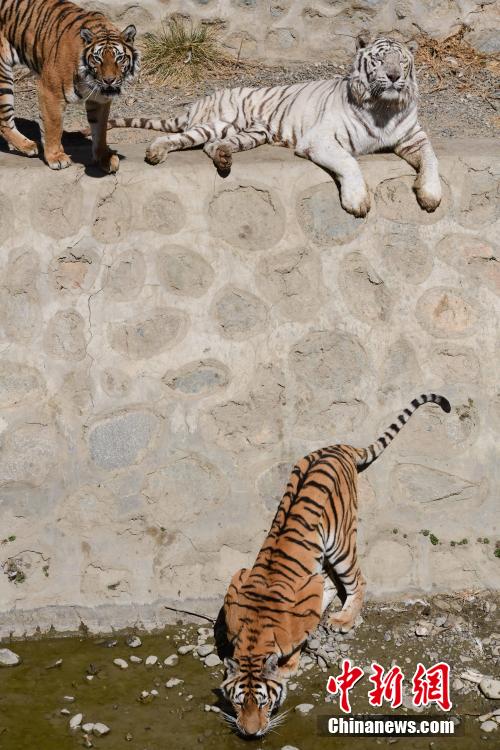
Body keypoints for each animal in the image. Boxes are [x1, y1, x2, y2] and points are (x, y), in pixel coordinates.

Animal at [0, 0, 138, 172]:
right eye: (97, 58)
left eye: (119, 58)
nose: (109, 80)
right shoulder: (49, 90)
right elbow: (53, 125)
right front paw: (56, 157)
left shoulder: (100, 99)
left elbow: (100, 130)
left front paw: (104, 157)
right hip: (3, 74)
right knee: (4, 120)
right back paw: (29, 146)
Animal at [106, 36, 442, 217]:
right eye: (379, 60)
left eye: (402, 60)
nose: (394, 76)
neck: (384, 107)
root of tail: (199, 101)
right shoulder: (321, 138)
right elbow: (349, 162)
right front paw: (357, 201)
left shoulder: (414, 138)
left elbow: (431, 159)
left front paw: (430, 195)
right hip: (218, 122)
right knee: (179, 136)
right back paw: (155, 153)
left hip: (251, 133)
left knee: (212, 146)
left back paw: (224, 160)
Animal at [221, 394, 452, 740]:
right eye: (239, 703)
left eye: (262, 704)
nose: (250, 733)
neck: (254, 635)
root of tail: (339, 447)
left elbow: (297, 642)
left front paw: (290, 664)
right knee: (329, 580)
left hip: (341, 542)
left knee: (355, 580)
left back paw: (343, 619)